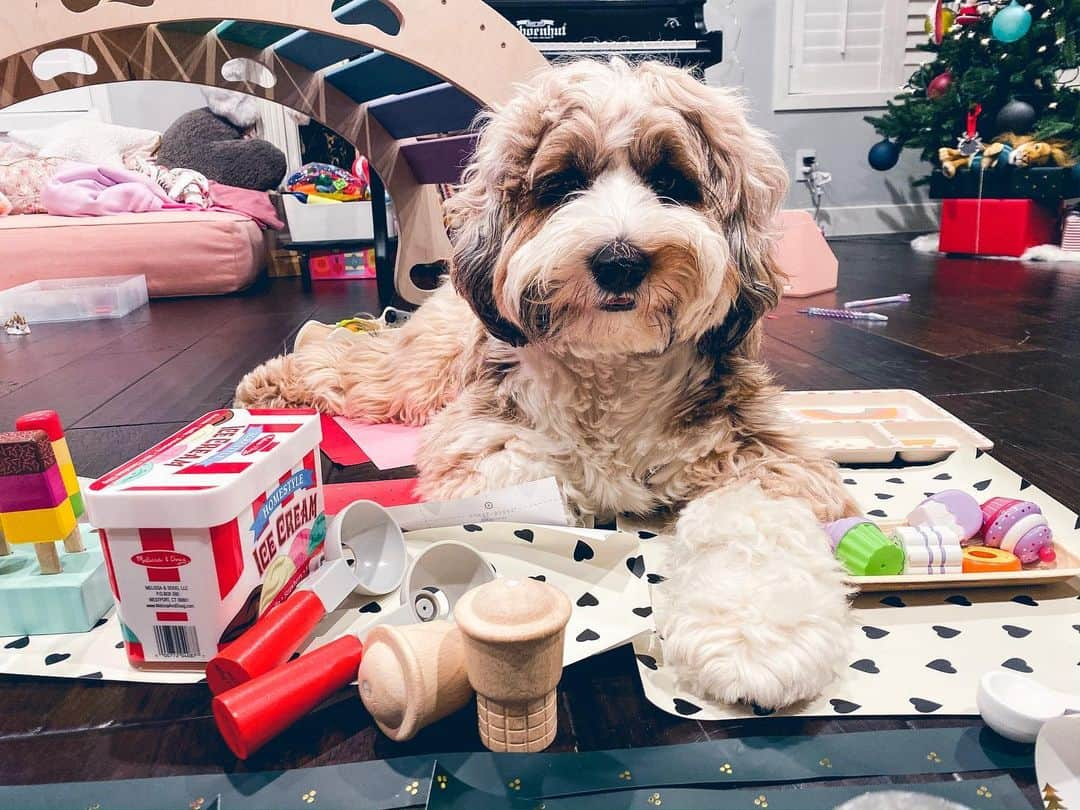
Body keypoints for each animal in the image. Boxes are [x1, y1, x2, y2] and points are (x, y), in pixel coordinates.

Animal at [238, 58, 859, 708]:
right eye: (563, 185)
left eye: (672, 181)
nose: (619, 261)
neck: (614, 368)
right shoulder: (486, 439)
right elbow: (523, 489)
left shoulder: (759, 451)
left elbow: (753, 522)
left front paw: (757, 637)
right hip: (420, 372)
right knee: (355, 361)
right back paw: (273, 382)